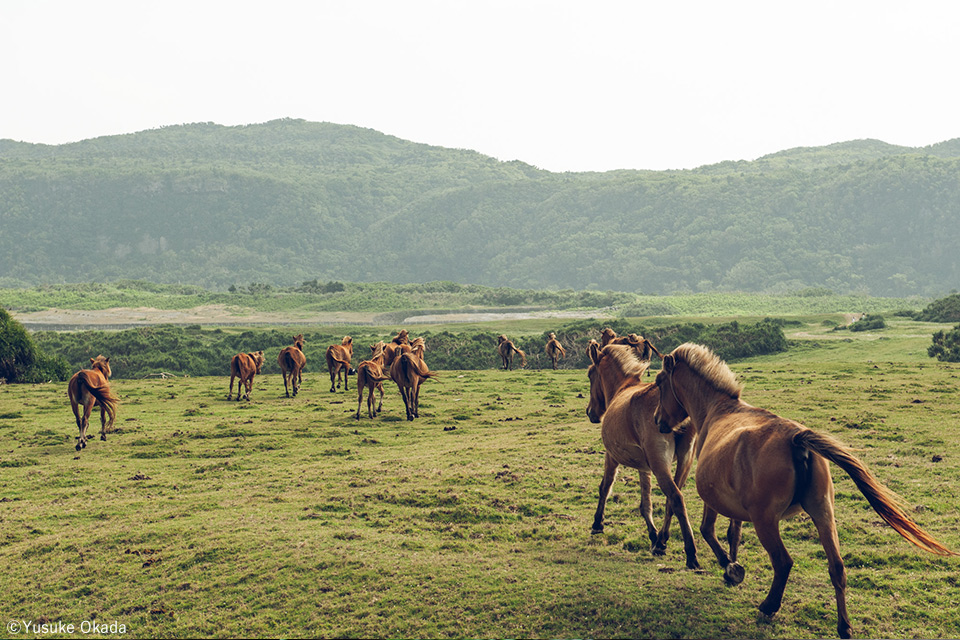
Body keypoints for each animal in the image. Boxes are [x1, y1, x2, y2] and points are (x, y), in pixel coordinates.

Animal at [584, 342, 696, 568]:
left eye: (591, 375)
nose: (589, 412)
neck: (623, 388)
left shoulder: (611, 457)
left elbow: (605, 487)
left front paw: (597, 523)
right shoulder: (645, 467)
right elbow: (646, 503)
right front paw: (653, 535)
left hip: (661, 464)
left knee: (676, 498)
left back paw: (690, 553)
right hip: (684, 461)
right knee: (672, 500)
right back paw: (661, 541)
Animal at [652, 344, 952, 640]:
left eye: (659, 382)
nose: (657, 421)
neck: (719, 410)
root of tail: (796, 438)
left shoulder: (713, 500)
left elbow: (708, 531)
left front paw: (731, 568)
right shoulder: (736, 506)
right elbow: (732, 533)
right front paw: (732, 569)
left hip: (766, 521)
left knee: (783, 562)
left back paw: (769, 607)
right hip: (823, 513)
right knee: (837, 567)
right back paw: (844, 627)